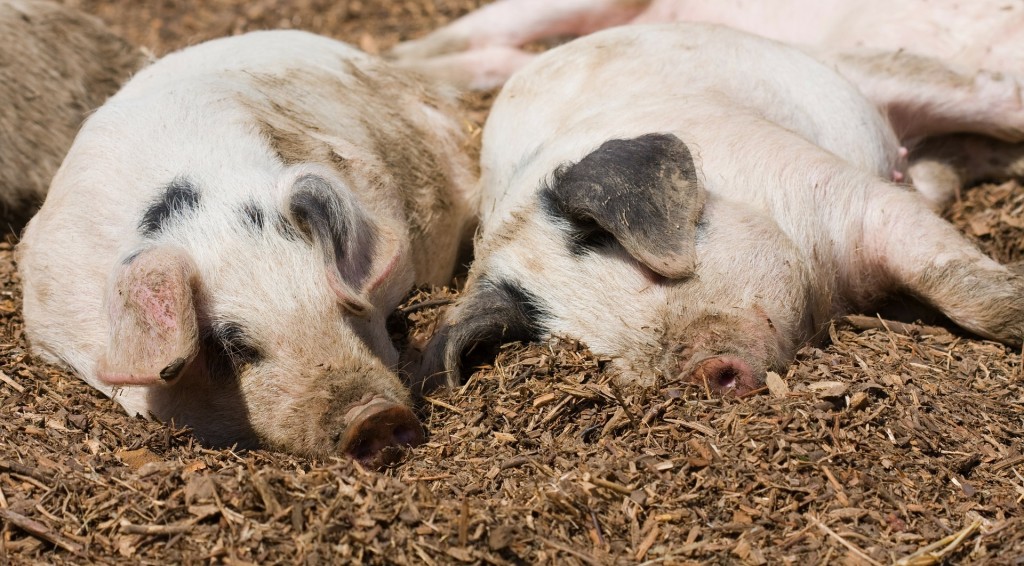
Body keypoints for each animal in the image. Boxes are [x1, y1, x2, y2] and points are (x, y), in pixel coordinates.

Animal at [417, 24, 1024, 396]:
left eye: (650, 275)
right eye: (593, 351)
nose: (706, 372)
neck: (833, 292)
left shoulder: (846, 194)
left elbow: (959, 285)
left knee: (992, 96)